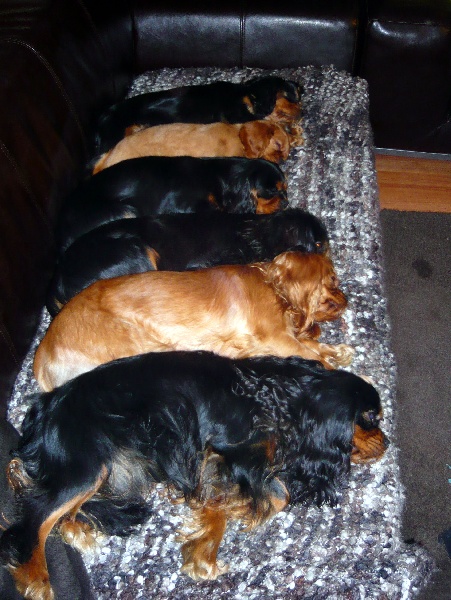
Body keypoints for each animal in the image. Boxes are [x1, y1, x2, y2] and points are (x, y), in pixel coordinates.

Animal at [0, 351, 388, 599]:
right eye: (372, 419)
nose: (386, 443)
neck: (285, 397)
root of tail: (42, 408)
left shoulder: (211, 458)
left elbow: (220, 496)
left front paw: (203, 545)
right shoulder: (228, 449)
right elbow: (278, 495)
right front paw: (233, 517)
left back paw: (79, 531)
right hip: (86, 466)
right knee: (33, 517)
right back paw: (37, 579)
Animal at [34, 251, 354, 391]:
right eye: (333, 279)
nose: (347, 299)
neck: (272, 284)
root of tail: (42, 353)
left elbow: (314, 347)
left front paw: (337, 351)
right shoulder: (275, 338)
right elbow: (314, 356)